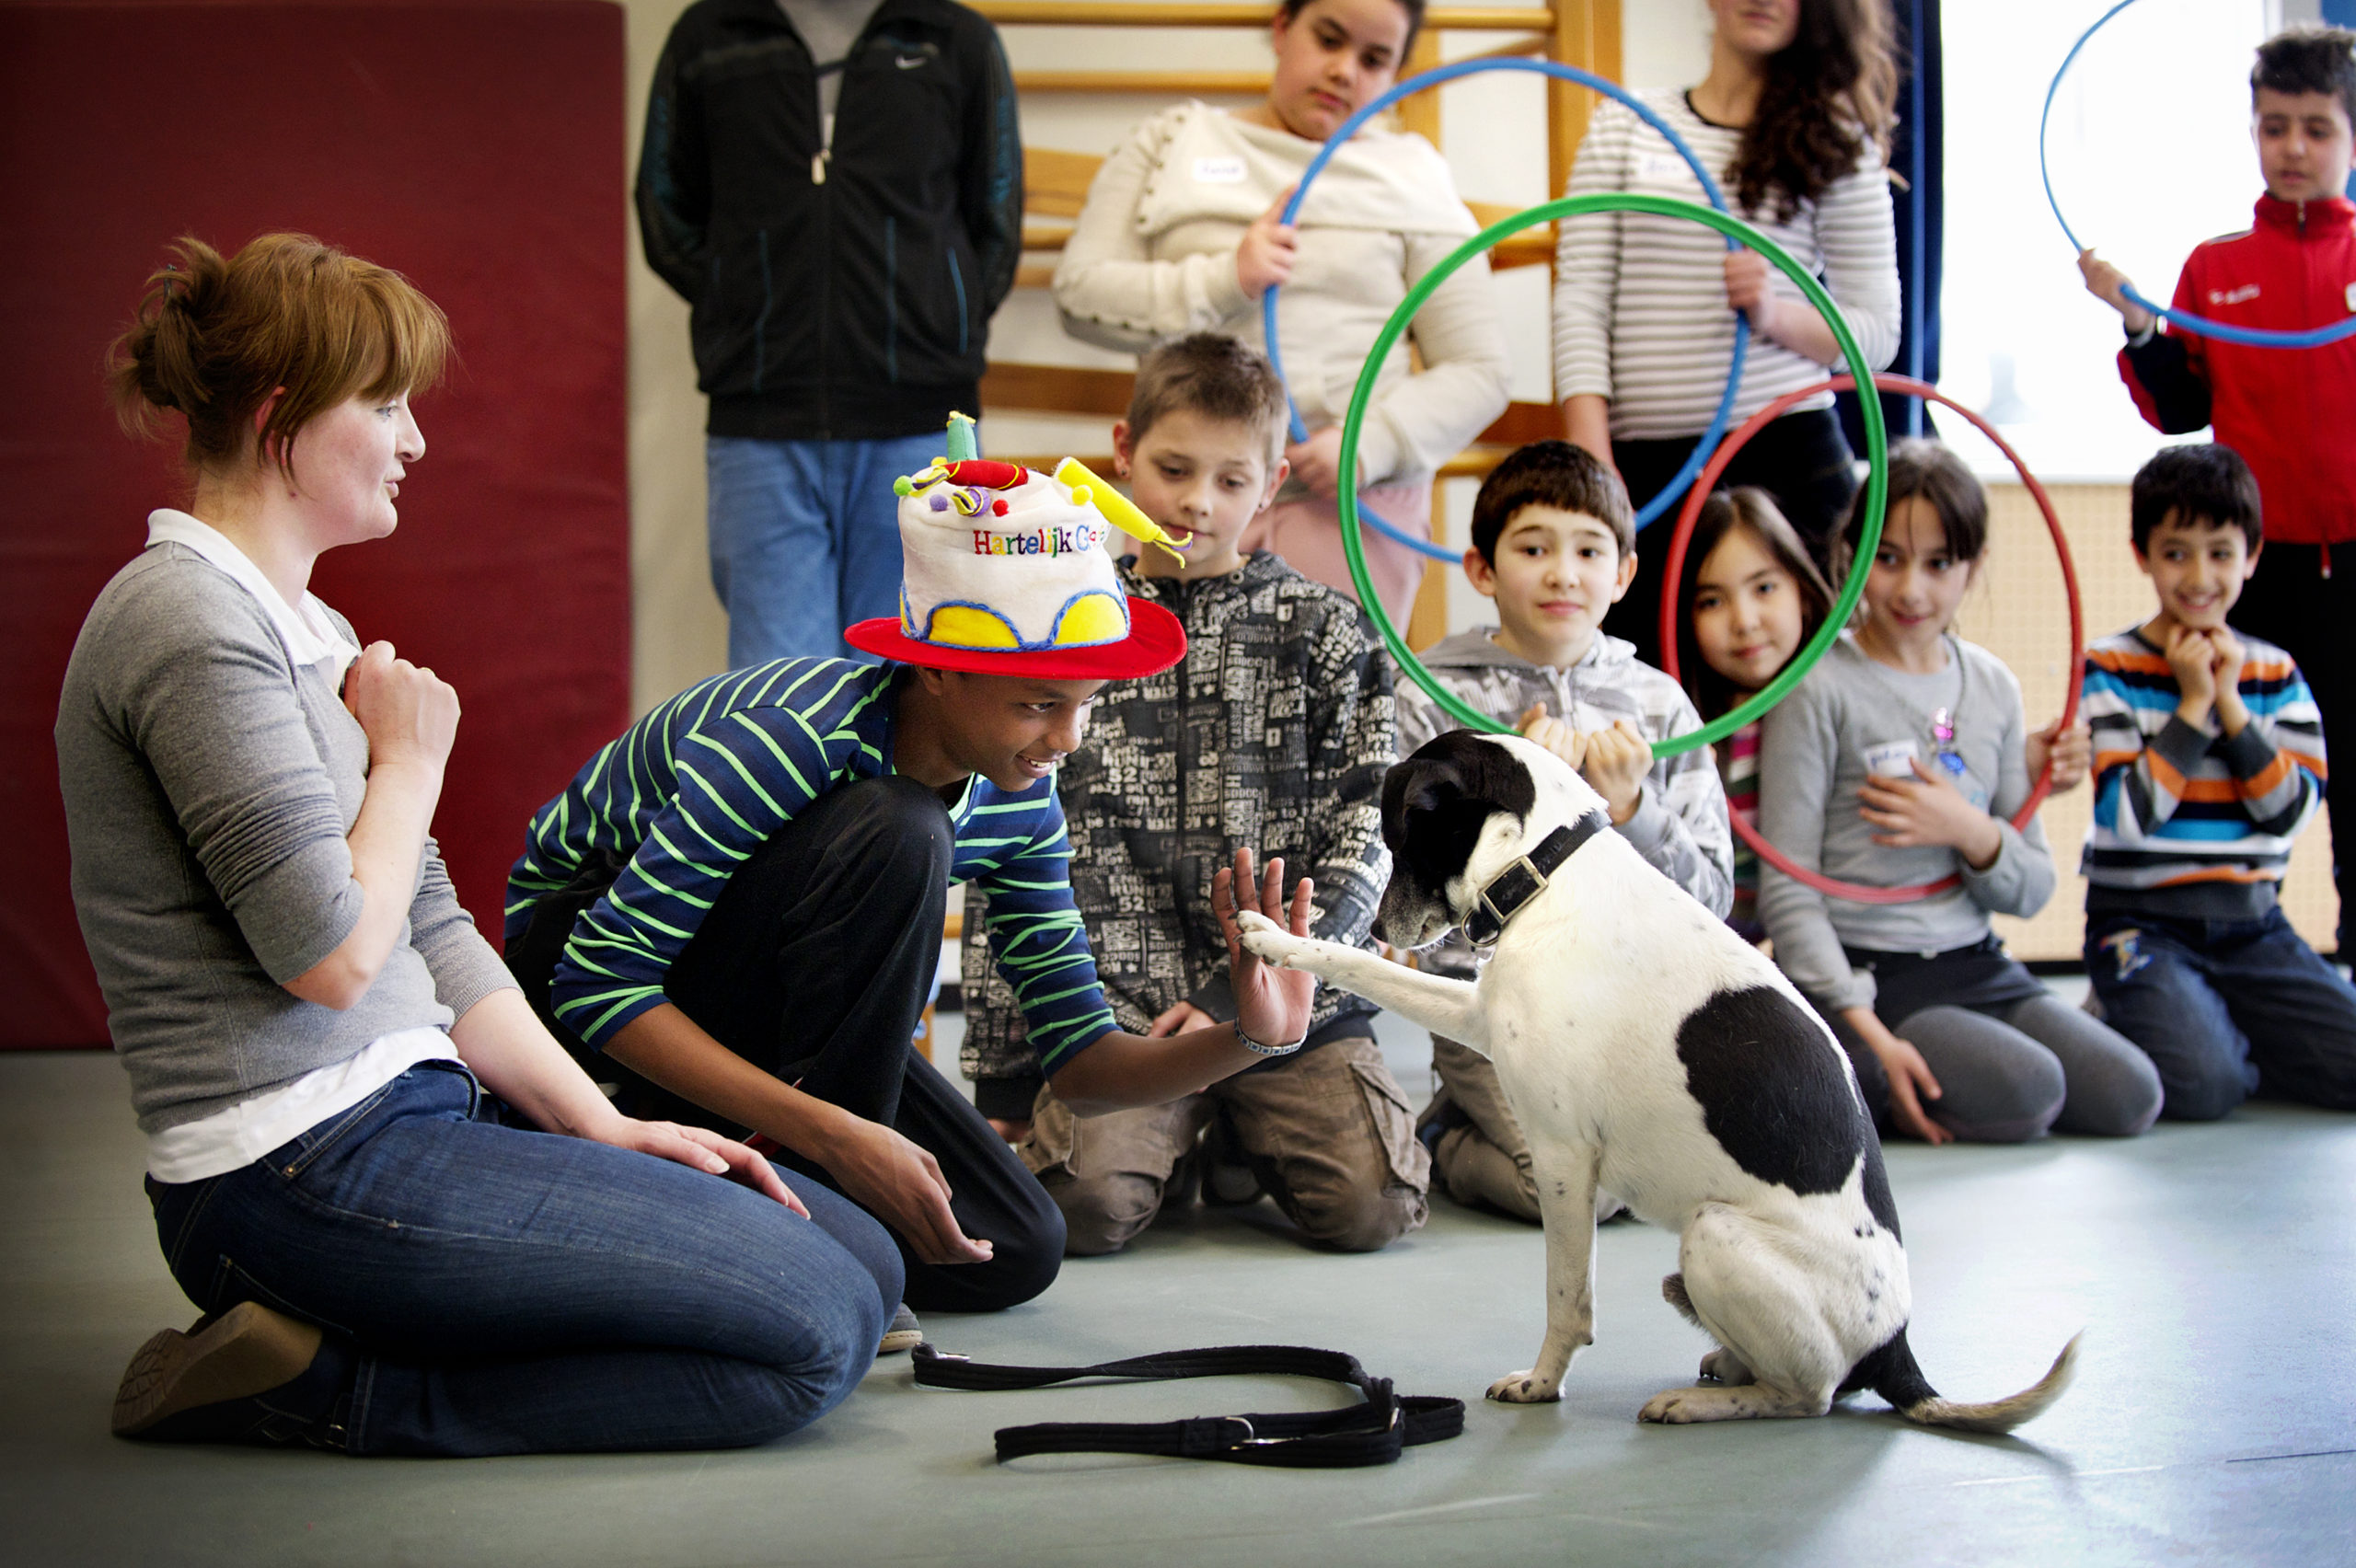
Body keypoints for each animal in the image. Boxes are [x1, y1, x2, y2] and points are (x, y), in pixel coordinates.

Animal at [1234, 725, 2083, 1422]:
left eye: (1405, 834)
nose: (1381, 923)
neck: (1550, 874)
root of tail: (1897, 1347)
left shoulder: (1562, 1159)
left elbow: (1567, 1300)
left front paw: (1542, 1384)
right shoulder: (1480, 1016)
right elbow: (1371, 971)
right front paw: (1283, 940)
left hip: (1713, 1236)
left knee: (1811, 1394)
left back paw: (1700, 1402)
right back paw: (1725, 1364)